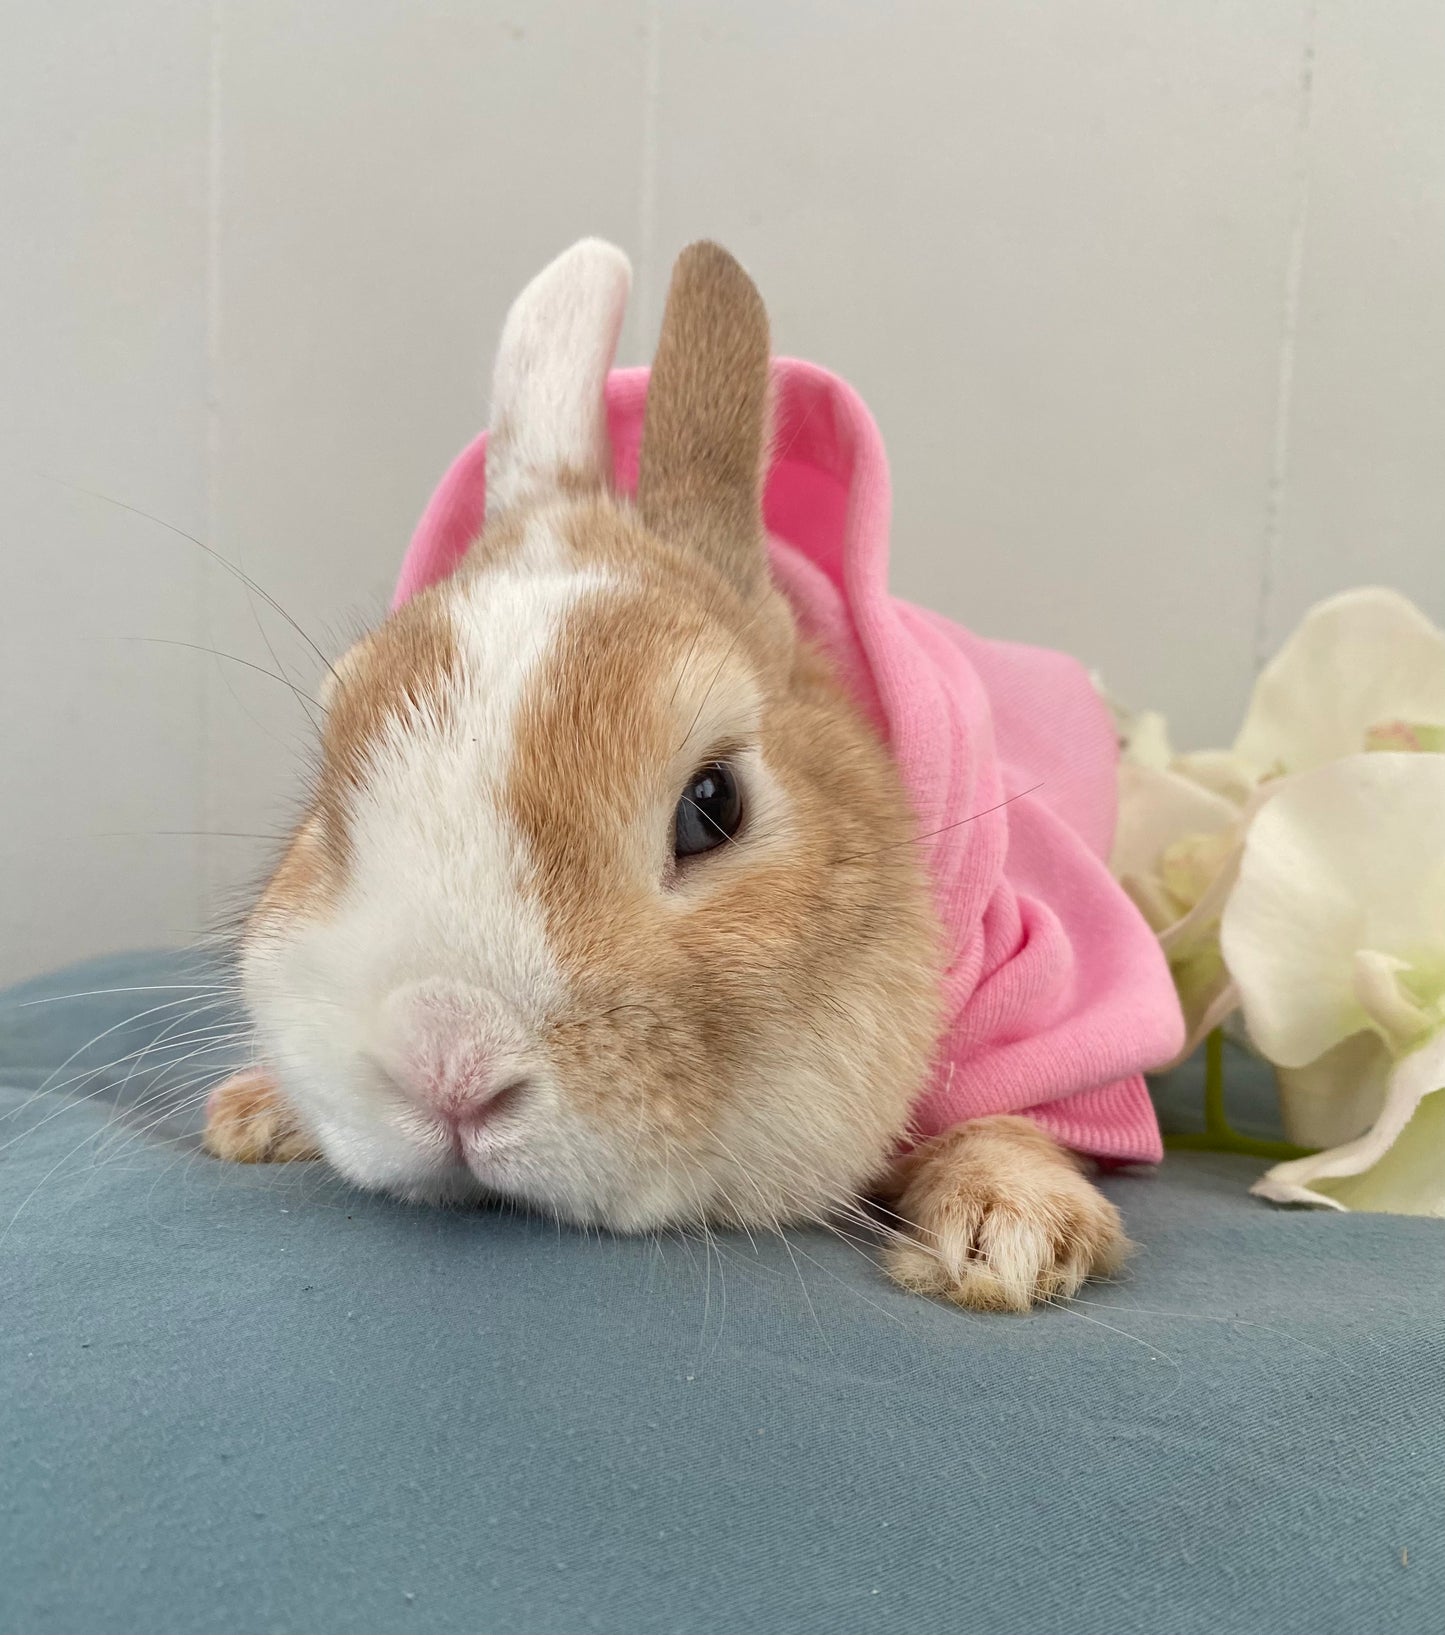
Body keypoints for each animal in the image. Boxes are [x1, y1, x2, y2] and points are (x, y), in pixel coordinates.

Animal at [204, 237, 1152, 1312]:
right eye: (328, 796)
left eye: (713, 803)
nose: (444, 1062)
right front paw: (254, 1113)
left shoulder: (1051, 982)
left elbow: (1026, 1106)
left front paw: (1009, 1228)